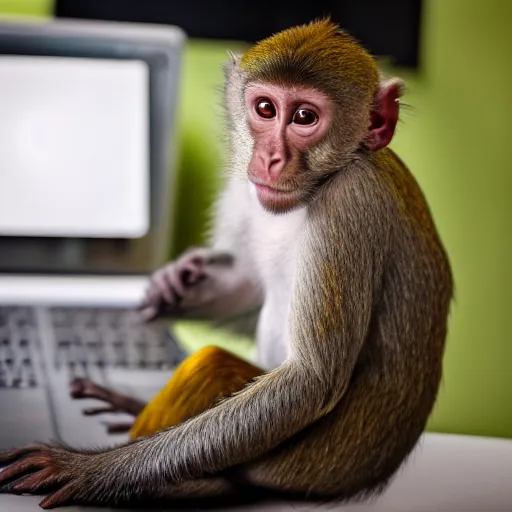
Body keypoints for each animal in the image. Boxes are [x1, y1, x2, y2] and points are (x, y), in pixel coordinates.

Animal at [0, 19, 452, 508]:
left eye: (305, 118)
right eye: (265, 108)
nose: (270, 157)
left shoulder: (349, 201)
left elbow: (310, 381)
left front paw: (91, 470)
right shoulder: (247, 185)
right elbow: (249, 287)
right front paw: (172, 285)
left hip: (299, 465)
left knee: (212, 363)